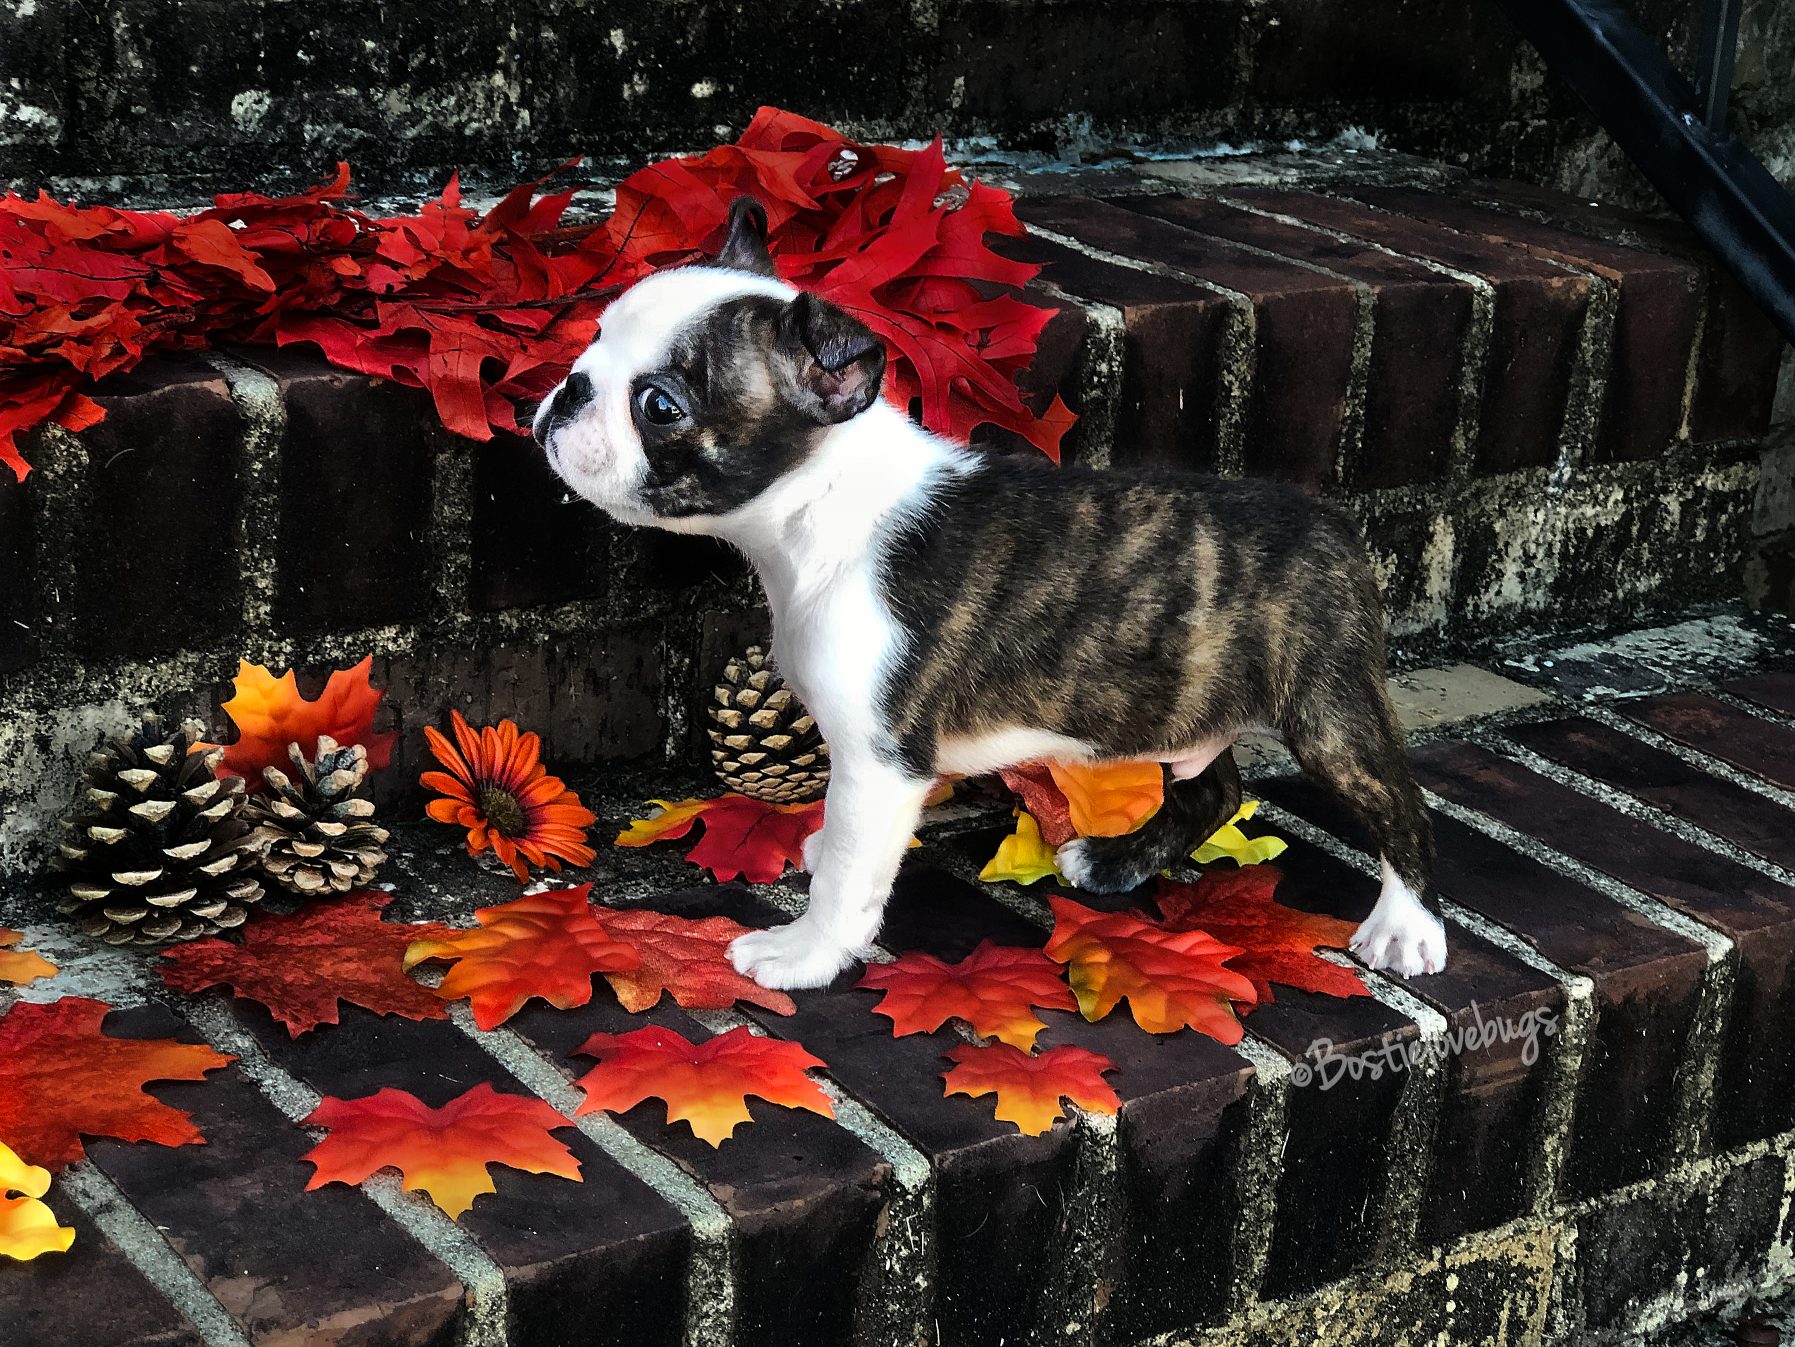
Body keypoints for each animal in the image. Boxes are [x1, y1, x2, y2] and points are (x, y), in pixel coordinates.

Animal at [534, 196, 1446, 991]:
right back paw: (1114, 860)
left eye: (660, 405)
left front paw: (805, 952)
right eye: (594, 338)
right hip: (1174, 698)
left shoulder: (881, 757)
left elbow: (851, 876)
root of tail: (1329, 521)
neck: (819, 508)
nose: (570, 387)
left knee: (1400, 807)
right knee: (1214, 788)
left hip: (1327, 711)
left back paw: (1405, 927)